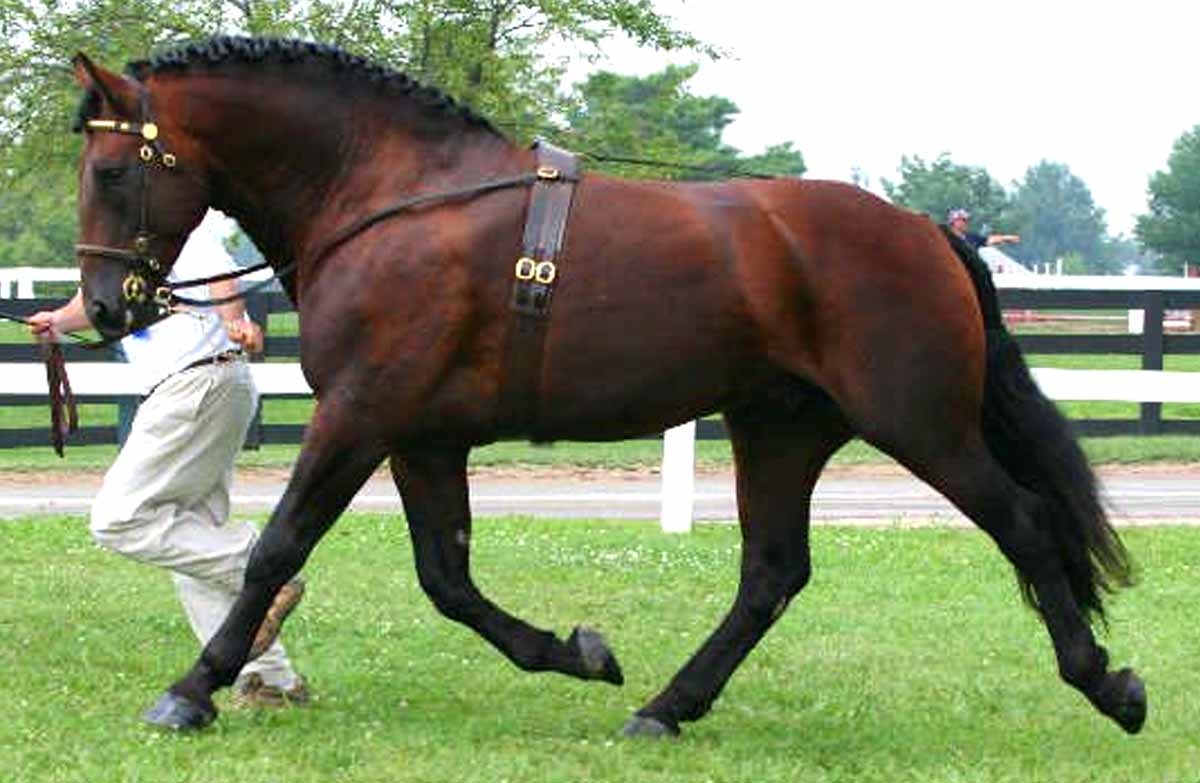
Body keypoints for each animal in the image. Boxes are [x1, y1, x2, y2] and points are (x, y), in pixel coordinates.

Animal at [69, 36, 1145, 738]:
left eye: (114, 171)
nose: (107, 306)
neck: (391, 198)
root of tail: (928, 231)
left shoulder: (360, 416)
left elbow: (277, 549)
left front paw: (192, 689)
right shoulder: (422, 437)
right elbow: (448, 579)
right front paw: (577, 650)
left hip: (920, 425)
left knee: (1023, 523)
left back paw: (1107, 683)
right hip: (780, 430)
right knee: (772, 572)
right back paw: (667, 707)